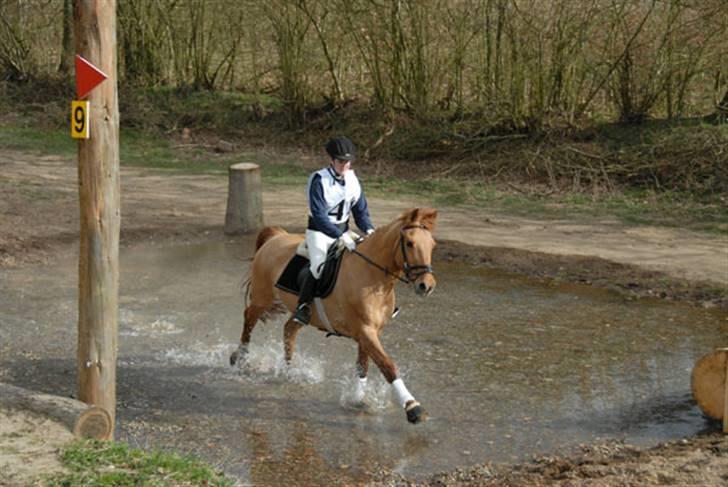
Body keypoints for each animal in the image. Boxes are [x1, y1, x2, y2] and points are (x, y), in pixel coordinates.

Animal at [230, 208, 436, 426]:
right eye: (410, 243)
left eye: (432, 244)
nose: (426, 286)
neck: (372, 275)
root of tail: (276, 237)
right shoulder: (365, 331)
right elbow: (387, 365)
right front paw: (413, 407)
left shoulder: (370, 332)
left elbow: (363, 366)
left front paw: (358, 399)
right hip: (263, 299)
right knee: (249, 317)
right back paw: (240, 358)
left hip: (300, 312)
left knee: (289, 329)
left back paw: (290, 370)